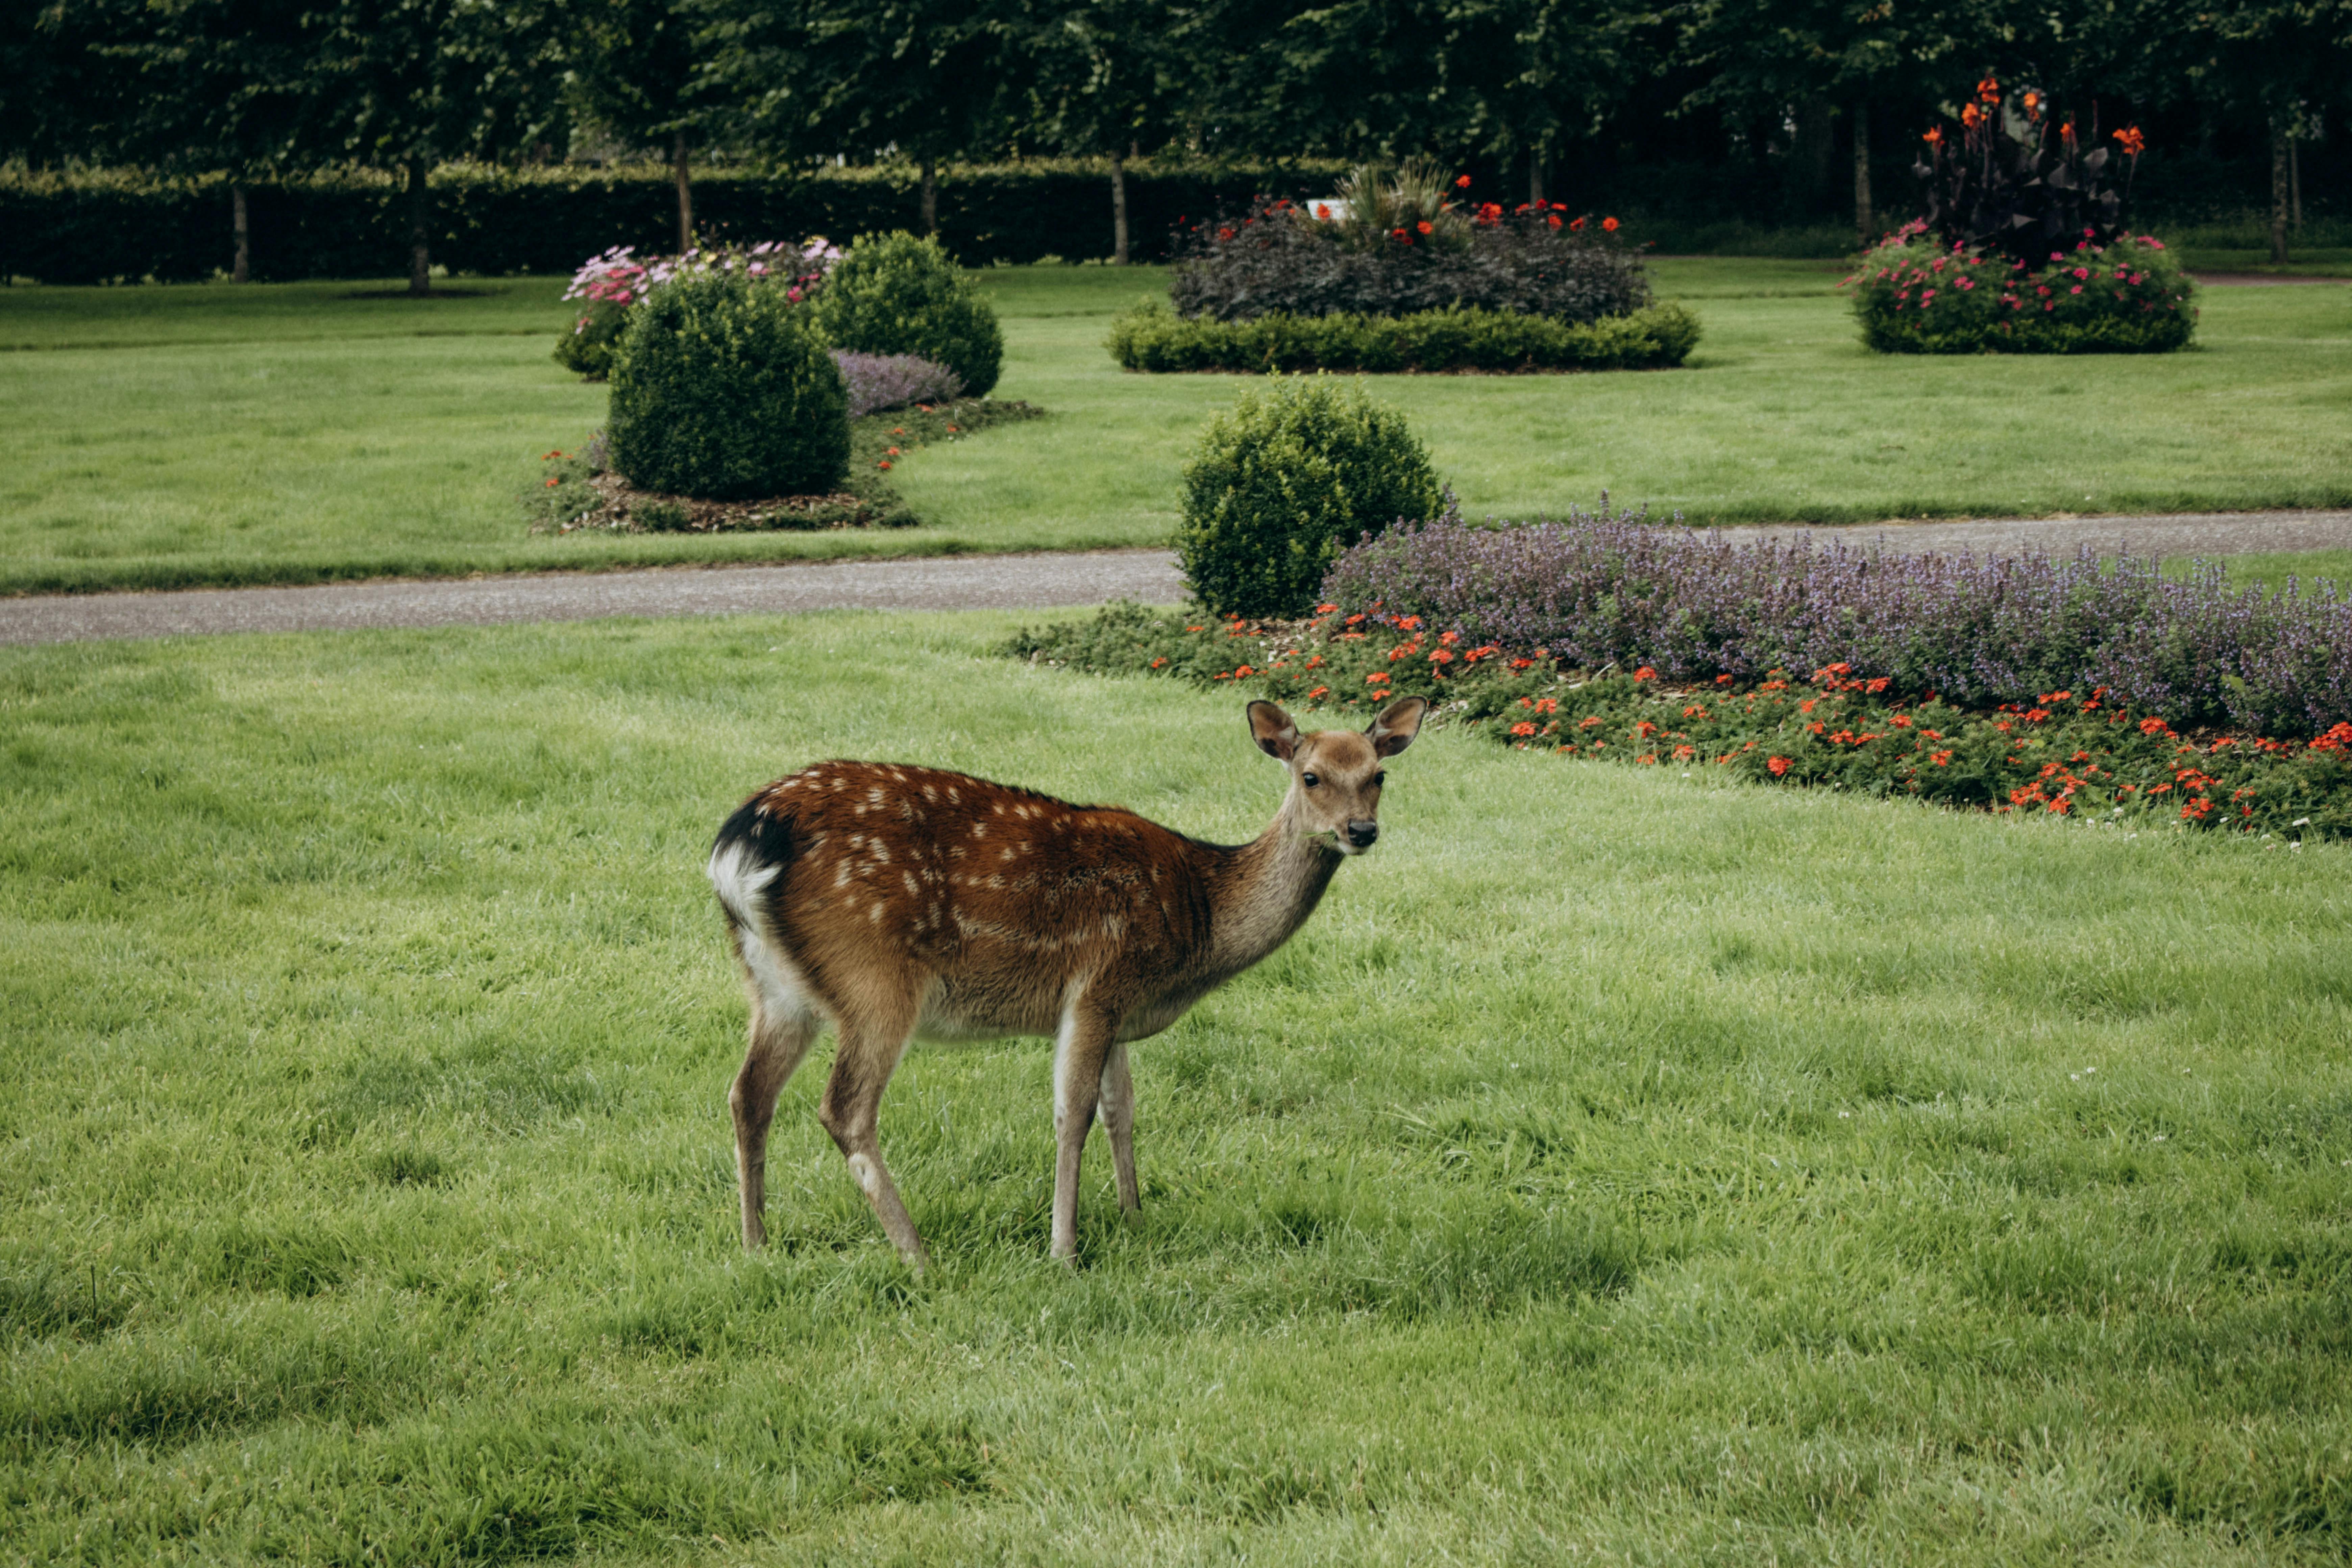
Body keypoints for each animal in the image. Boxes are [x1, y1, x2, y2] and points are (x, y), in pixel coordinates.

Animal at [704, 695, 1428, 1266]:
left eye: (1379, 774)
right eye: (1311, 776)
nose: (1361, 830)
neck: (1200, 918)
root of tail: (741, 846)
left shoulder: (1118, 1012)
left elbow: (1121, 1108)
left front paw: (1135, 1217)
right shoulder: (1098, 986)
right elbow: (1072, 1113)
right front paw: (1064, 1250)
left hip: (775, 986)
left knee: (749, 1094)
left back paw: (755, 1244)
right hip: (874, 977)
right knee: (844, 1108)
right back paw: (918, 1256)